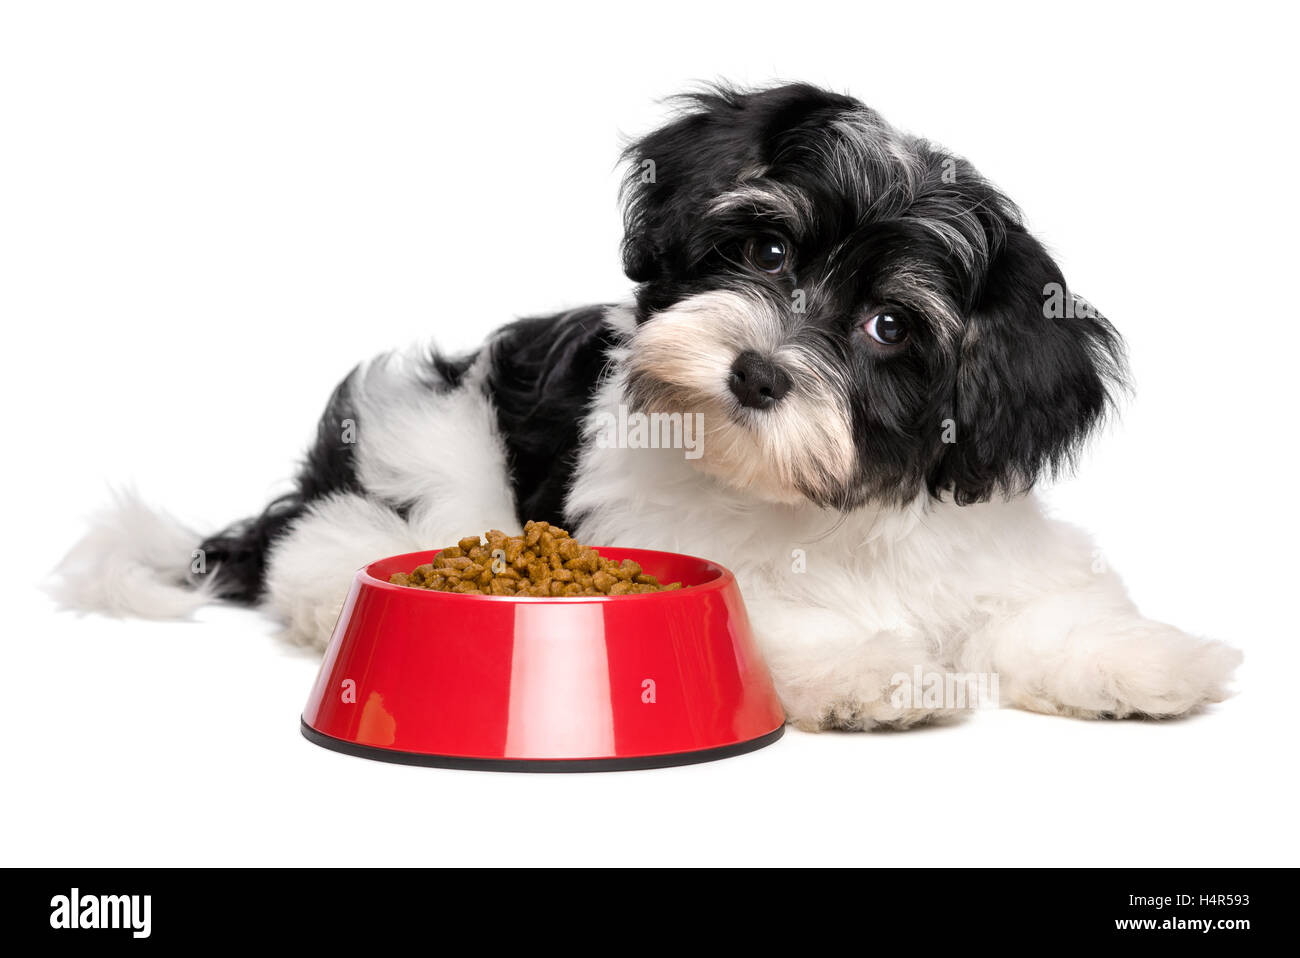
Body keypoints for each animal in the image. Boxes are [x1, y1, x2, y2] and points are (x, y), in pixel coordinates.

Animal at [58, 83, 1237, 722]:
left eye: (890, 328)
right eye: (765, 251)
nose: (757, 373)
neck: (817, 506)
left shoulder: (984, 532)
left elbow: (1048, 606)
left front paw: (1144, 661)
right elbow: (769, 614)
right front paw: (870, 670)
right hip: (434, 455)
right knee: (335, 543)